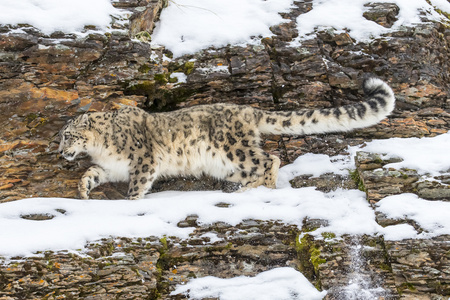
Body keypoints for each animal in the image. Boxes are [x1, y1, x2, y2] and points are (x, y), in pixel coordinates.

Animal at [59, 77, 394, 199]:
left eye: (68, 136)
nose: (61, 151)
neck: (102, 148)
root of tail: (247, 110)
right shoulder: (109, 167)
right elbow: (92, 173)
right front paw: (83, 191)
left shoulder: (142, 160)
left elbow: (137, 184)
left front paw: (132, 202)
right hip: (226, 162)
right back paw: (244, 188)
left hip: (233, 148)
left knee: (270, 159)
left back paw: (261, 188)